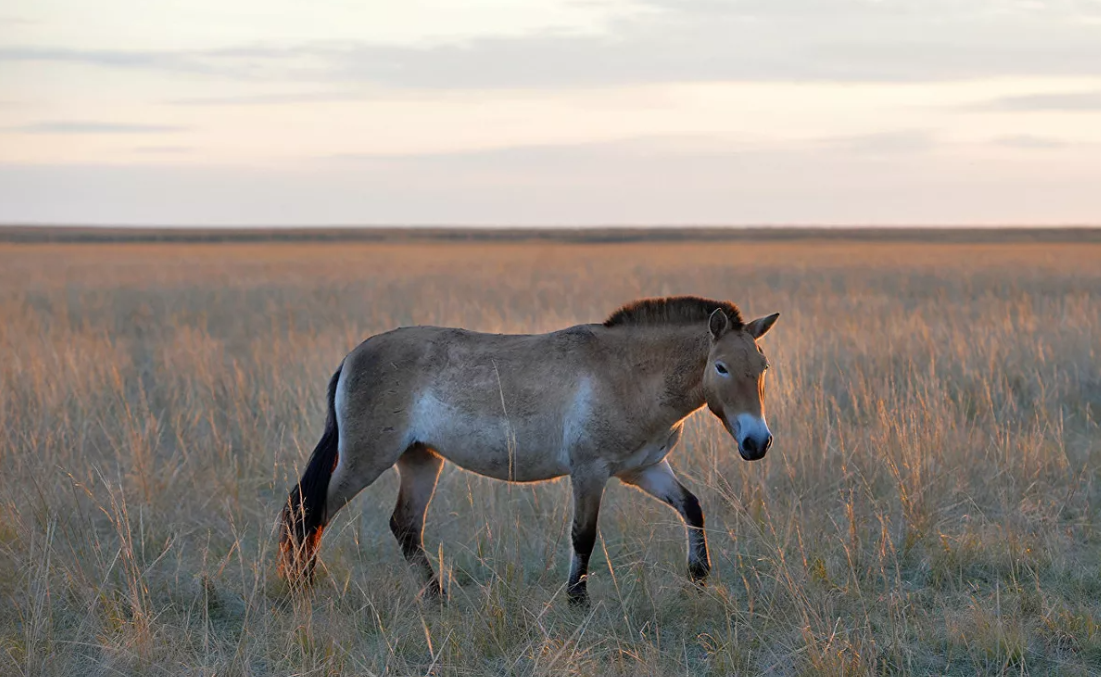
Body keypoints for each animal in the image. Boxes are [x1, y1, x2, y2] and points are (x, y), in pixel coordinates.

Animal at [279, 297, 779, 603]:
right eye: (721, 367)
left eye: (763, 366)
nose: (757, 443)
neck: (629, 373)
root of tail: (353, 356)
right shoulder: (589, 472)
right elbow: (583, 536)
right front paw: (577, 600)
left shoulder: (645, 469)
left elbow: (692, 507)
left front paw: (699, 574)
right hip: (365, 459)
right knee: (310, 511)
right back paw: (302, 588)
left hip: (420, 459)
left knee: (404, 527)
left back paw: (438, 598)